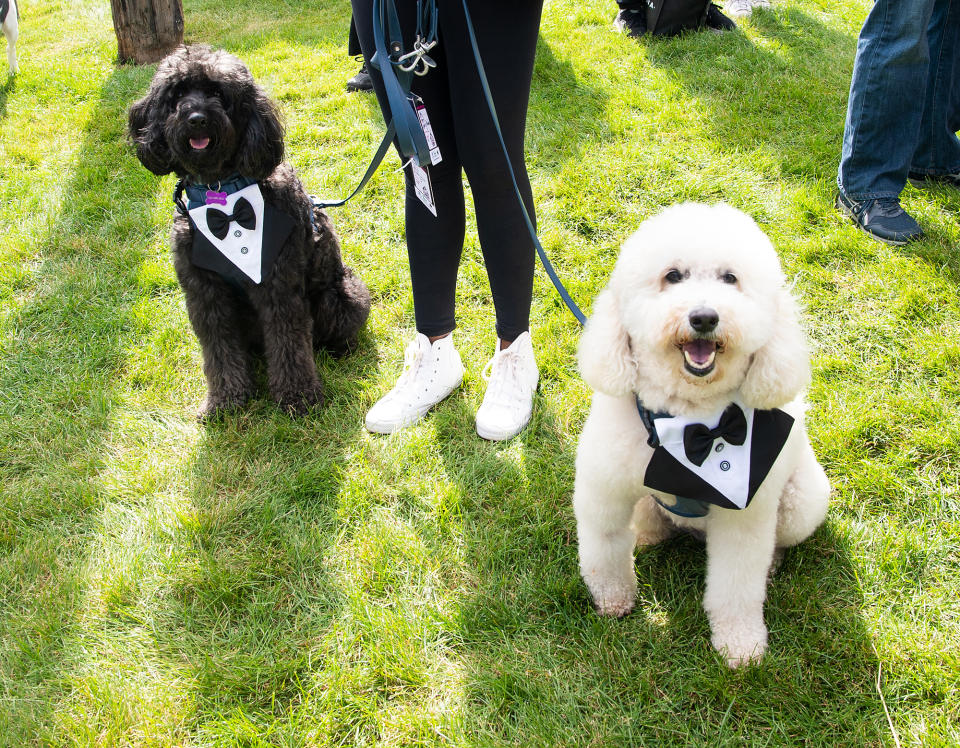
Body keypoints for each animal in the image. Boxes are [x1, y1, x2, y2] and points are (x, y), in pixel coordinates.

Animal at [133, 45, 374, 420]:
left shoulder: (277, 285)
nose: (196, 118)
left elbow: (289, 344)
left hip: (340, 296)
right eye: (177, 94)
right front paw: (225, 400)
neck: (223, 194)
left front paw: (297, 397)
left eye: (219, 93)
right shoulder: (205, 293)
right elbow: (218, 351)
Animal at [572, 203, 828, 668]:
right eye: (673, 276)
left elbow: (737, 586)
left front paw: (741, 645)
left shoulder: (745, 517)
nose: (704, 317)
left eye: (730, 278)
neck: (689, 423)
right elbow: (605, 549)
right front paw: (614, 600)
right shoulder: (605, 492)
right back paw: (650, 533)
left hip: (802, 502)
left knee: (777, 543)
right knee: (650, 519)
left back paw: (772, 564)